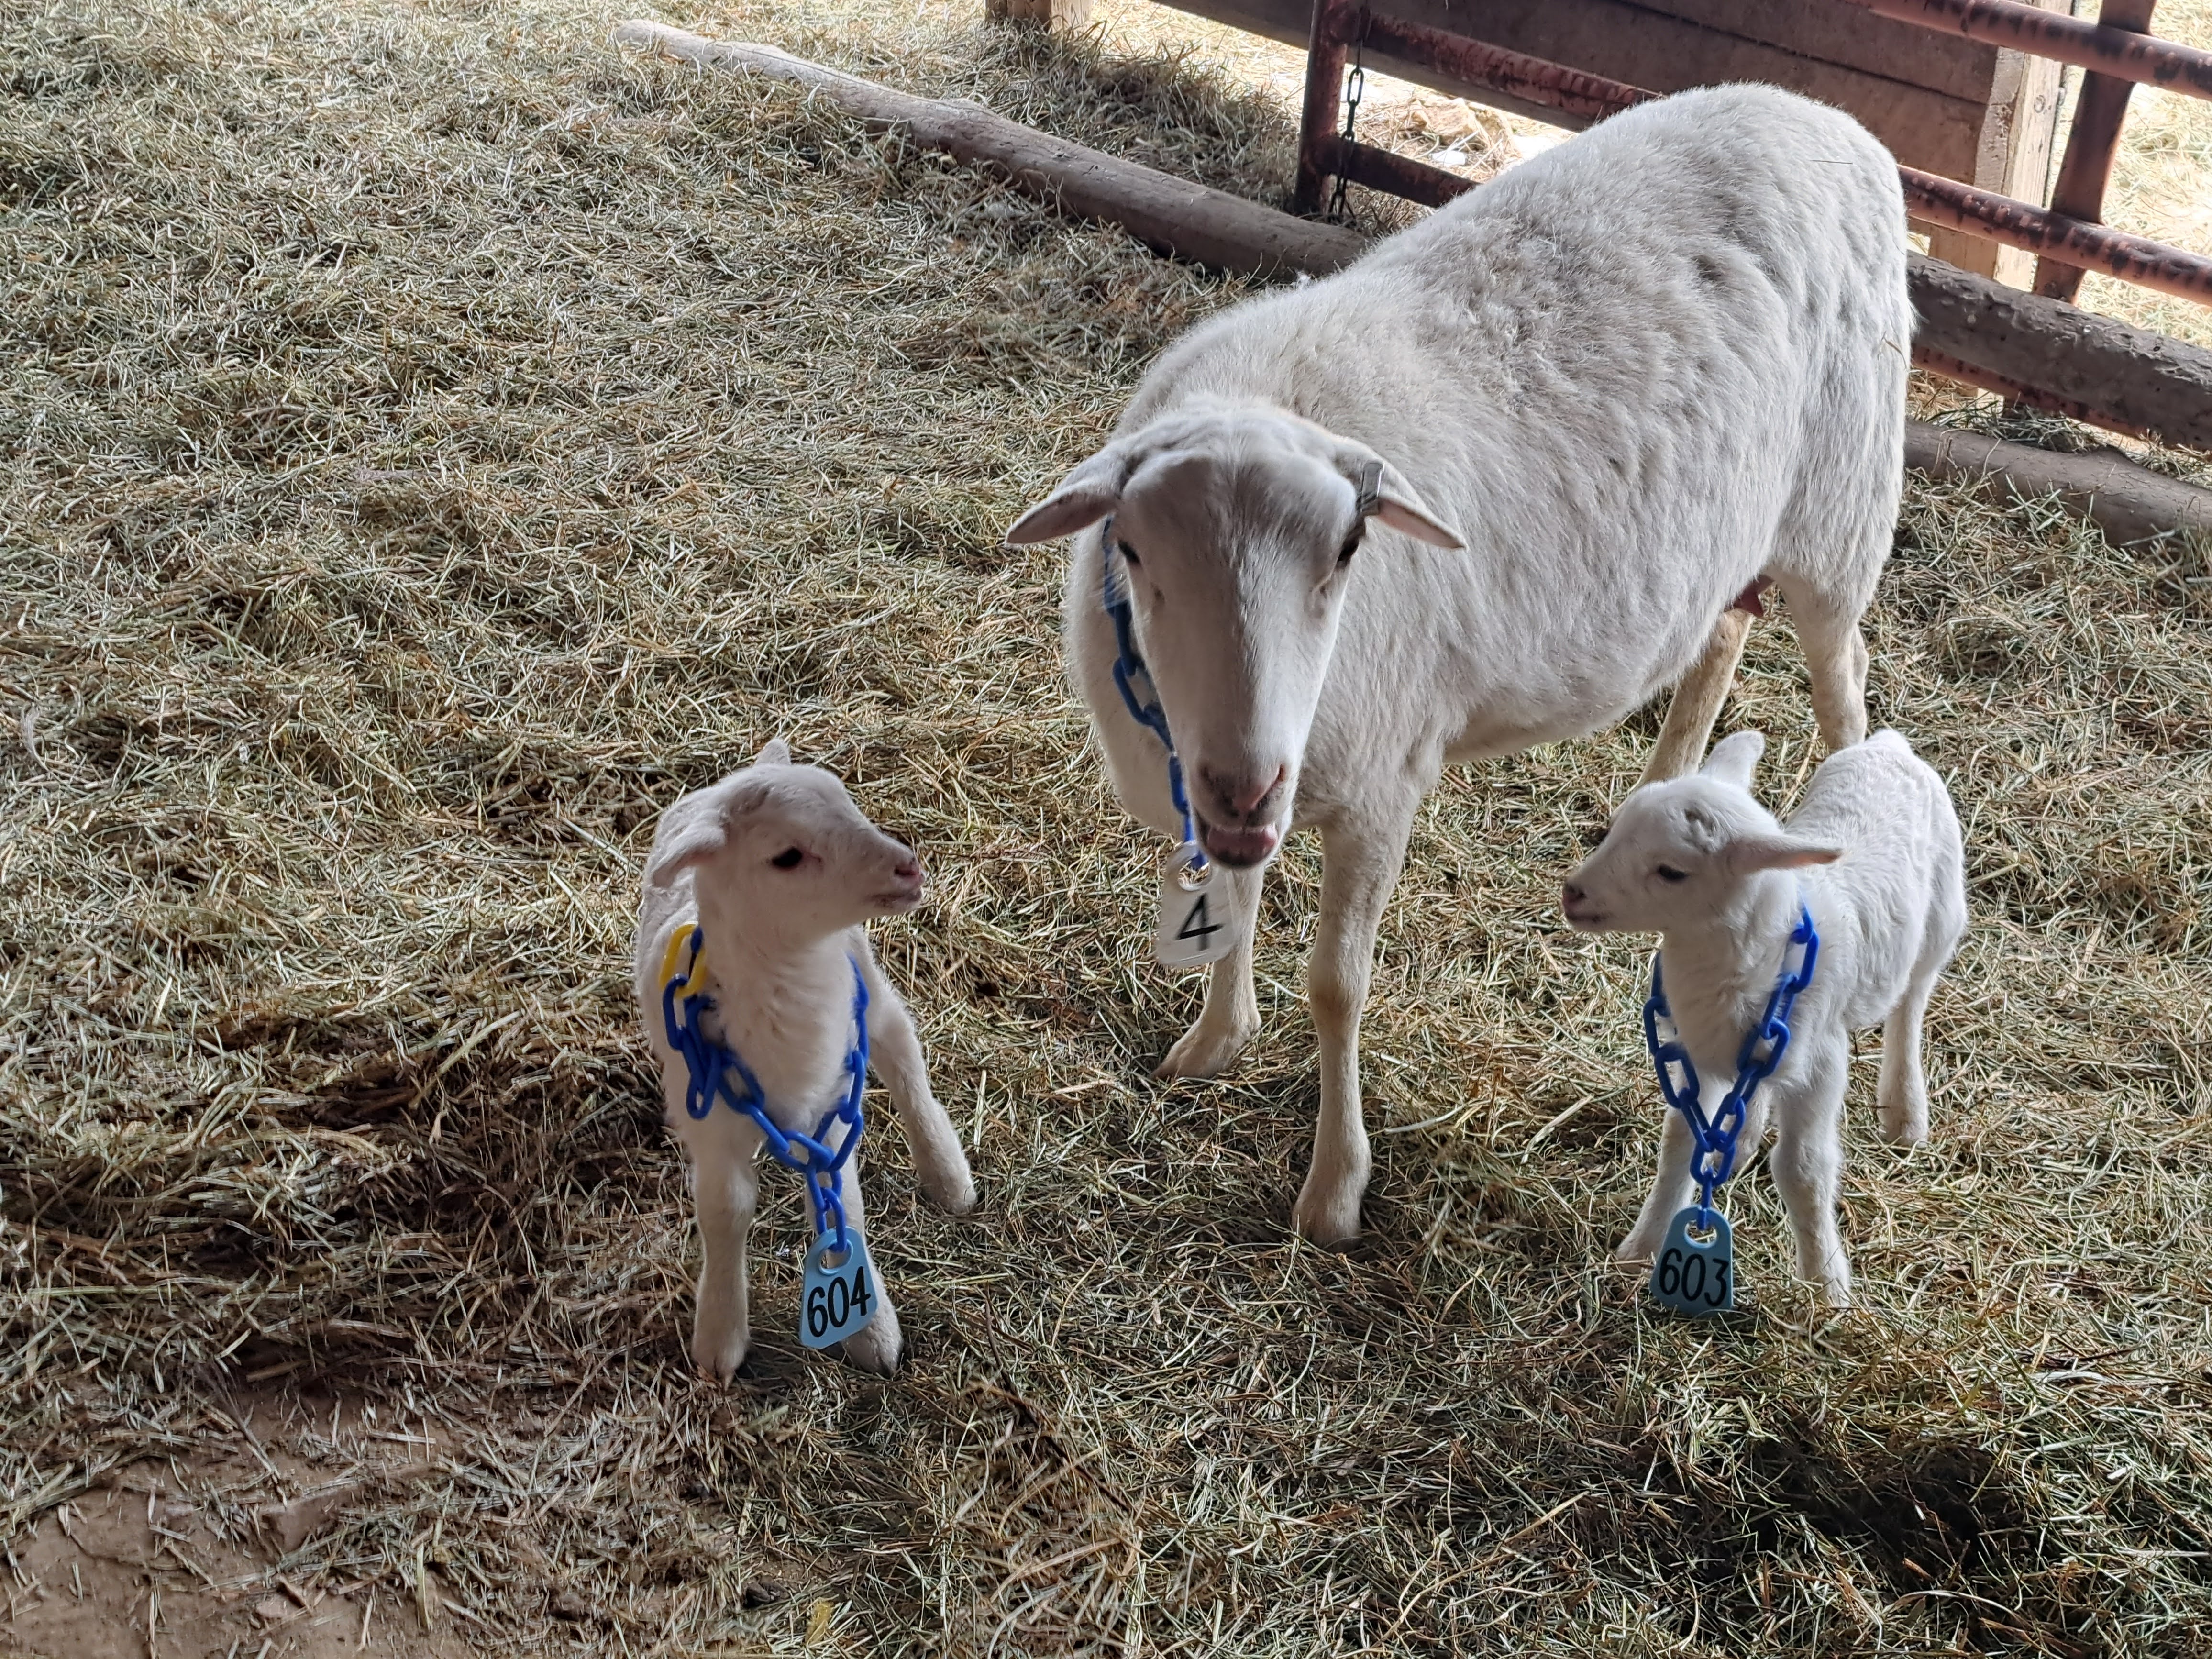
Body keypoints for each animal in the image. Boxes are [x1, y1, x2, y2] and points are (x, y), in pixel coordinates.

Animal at [634, 739, 976, 1378]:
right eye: (787, 857)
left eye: (849, 802)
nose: (907, 866)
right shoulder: (710, 1120)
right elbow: (725, 1211)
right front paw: (720, 1335)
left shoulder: (832, 1099)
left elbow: (844, 1202)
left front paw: (871, 1331)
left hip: (864, 977)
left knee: (902, 1051)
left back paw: (946, 1171)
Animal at [1002, 83, 1911, 1244]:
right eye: (1129, 549)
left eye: (1349, 550)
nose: (1245, 784)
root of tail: (1823, 115)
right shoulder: (1240, 782)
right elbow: (1235, 903)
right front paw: (1212, 1043)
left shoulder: (1378, 783)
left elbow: (1336, 986)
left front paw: (1333, 1189)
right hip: (1728, 540)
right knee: (1717, 636)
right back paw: (1665, 784)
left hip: (1840, 516)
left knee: (1844, 693)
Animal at [1561, 728, 1966, 1305]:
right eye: (1615, 829)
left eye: (1671, 872)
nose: (1572, 893)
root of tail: (1889, 746)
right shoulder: (1698, 1053)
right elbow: (1679, 1143)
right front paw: (1640, 1248)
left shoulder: (1821, 1062)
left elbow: (1803, 1170)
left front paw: (1826, 1286)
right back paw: (1743, 1137)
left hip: (1943, 914)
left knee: (1911, 1002)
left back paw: (1905, 1112)